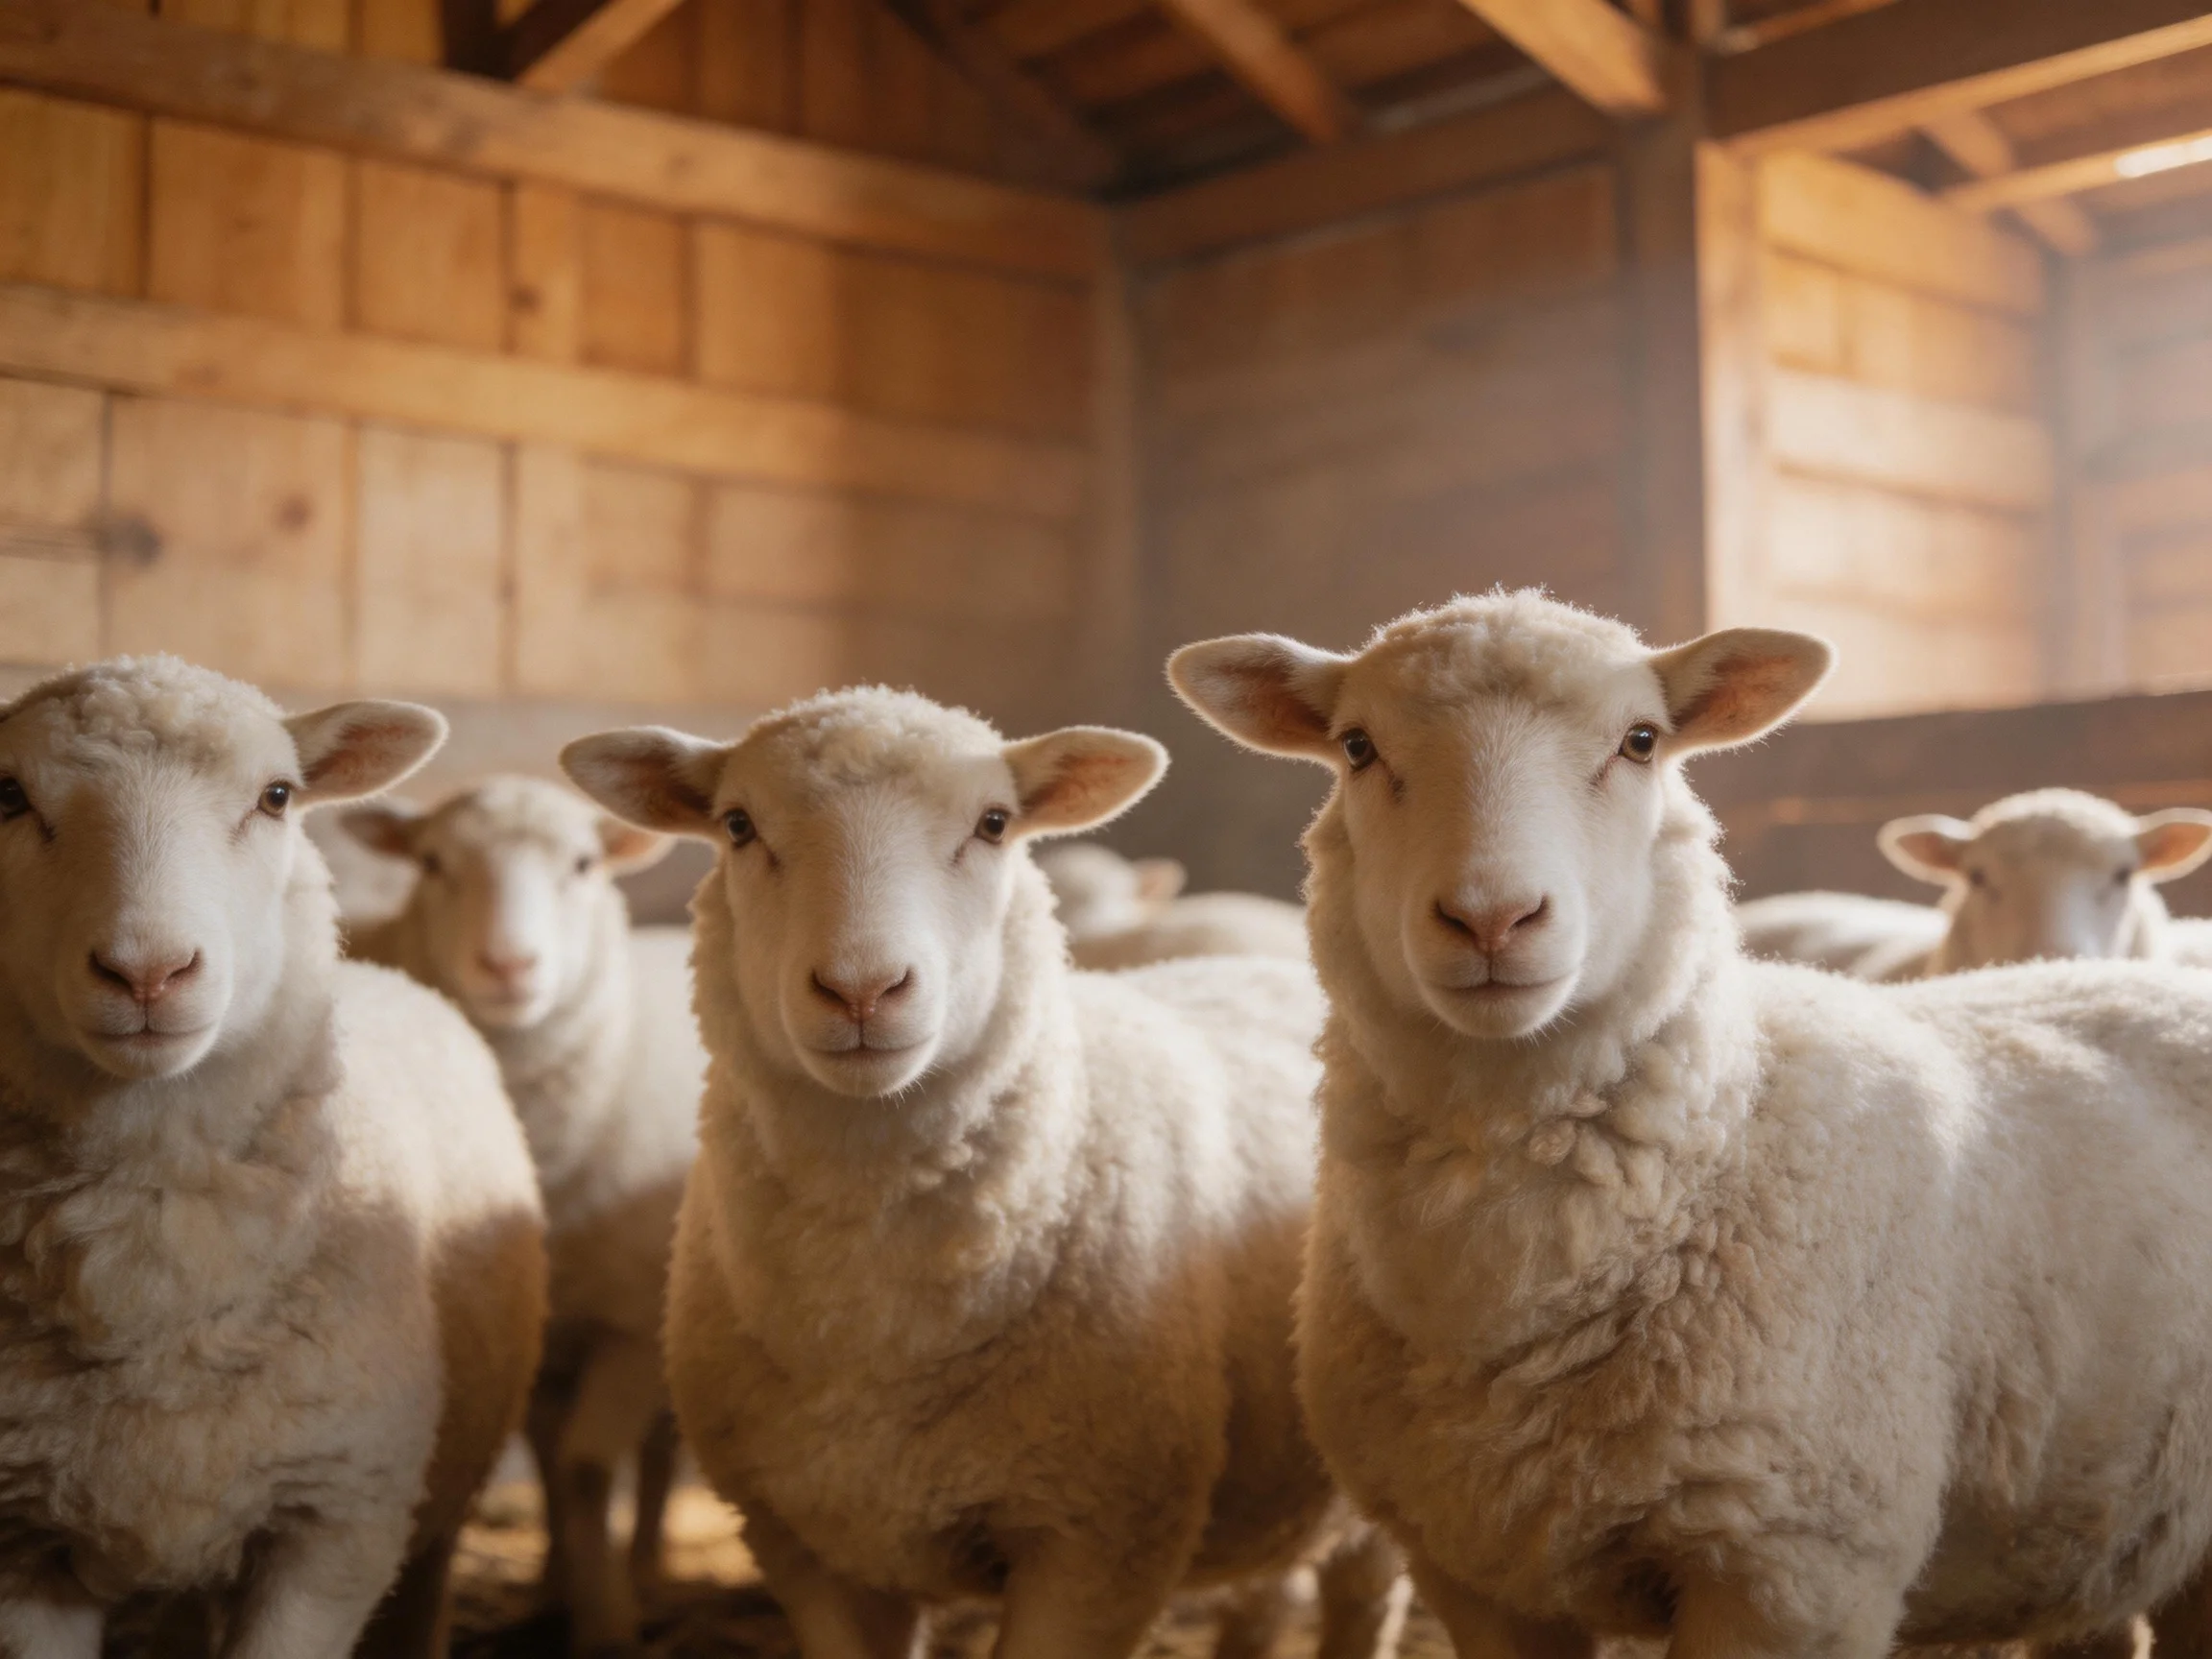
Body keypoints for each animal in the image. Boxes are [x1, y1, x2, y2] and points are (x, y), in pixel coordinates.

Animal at [342, 776, 705, 1656]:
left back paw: (647, 1564)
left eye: (582, 864)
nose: (508, 965)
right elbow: (546, 1462)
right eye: (433, 863)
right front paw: (554, 1583)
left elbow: (586, 1468)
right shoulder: (541, 1332)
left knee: (656, 1448)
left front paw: (605, 1621)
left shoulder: (624, 1325)